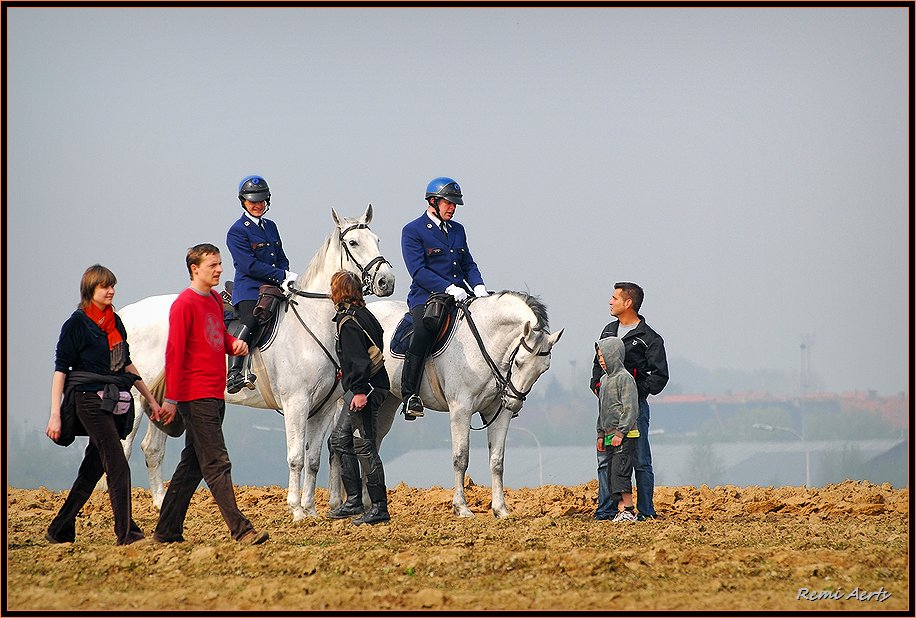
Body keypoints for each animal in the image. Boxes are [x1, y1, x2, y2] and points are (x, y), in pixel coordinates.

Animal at [119, 205, 398, 516]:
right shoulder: (296, 403)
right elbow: (296, 457)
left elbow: (313, 459)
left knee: (152, 448)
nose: (387, 281)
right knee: (125, 447)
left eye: (377, 239)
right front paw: (296, 511)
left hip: (167, 399)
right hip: (137, 396)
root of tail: (128, 314)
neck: (313, 322)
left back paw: (159, 503)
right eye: (353, 243)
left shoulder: (323, 409)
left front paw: (311, 512)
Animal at [326, 292, 560, 516]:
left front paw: (501, 509)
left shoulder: (499, 413)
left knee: (372, 441)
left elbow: (497, 461)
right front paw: (461, 507)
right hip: (348, 399)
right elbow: (460, 458)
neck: (484, 342)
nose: (513, 403)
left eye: (544, 369)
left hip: (387, 402)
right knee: (336, 443)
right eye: (519, 362)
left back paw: (368, 503)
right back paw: (337, 503)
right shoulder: (461, 409)